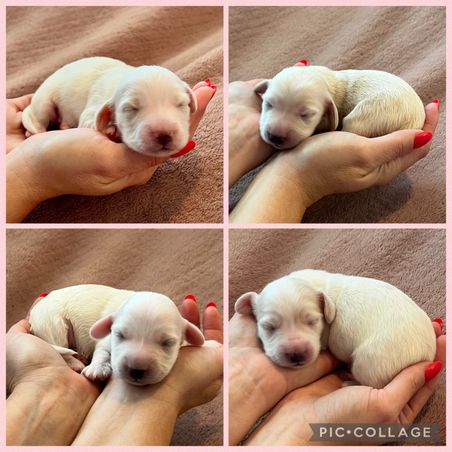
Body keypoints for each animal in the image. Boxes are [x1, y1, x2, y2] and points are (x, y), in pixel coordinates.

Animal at [22, 57, 197, 157]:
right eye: (130, 108)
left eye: (181, 104)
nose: (164, 135)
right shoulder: (93, 107)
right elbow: (89, 119)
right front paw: (111, 129)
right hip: (43, 103)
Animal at [29, 284, 205, 385]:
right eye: (119, 335)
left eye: (168, 343)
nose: (136, 370)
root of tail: (32, 317)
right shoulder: (105, 340)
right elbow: (102, 353)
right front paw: (96, 369)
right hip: (53, 324)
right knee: (61, 349)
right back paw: (76, 362)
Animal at [235, 269, 436, 388]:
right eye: (268, 327)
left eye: (313, 321)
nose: (296, 354)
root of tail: (423, 357)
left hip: (369, 363)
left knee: (372, 383)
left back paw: (350, 381)